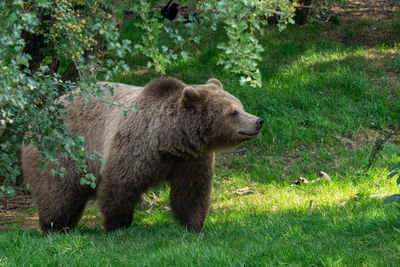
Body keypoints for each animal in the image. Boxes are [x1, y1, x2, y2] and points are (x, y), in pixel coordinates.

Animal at [22, 77, 266, 232]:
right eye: (232, 112)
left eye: (240, 105)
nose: (258, 121)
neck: (169, 140)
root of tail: (42, 112)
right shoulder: (134, 146)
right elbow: (120, 185)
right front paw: (117, 225)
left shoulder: (191, 159)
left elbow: (192, 191)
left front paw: (194, 225)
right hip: (62, 151)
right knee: (58, 192)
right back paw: (53, 227)